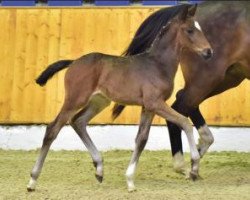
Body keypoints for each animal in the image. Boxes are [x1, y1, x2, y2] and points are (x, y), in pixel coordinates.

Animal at [113, 0, 250, 173]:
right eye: (190, 31)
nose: (208, 51)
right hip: (208, 78)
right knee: (181, 106)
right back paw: (185, 163)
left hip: (226, 78)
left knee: (185, 104)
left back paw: (197, 152)